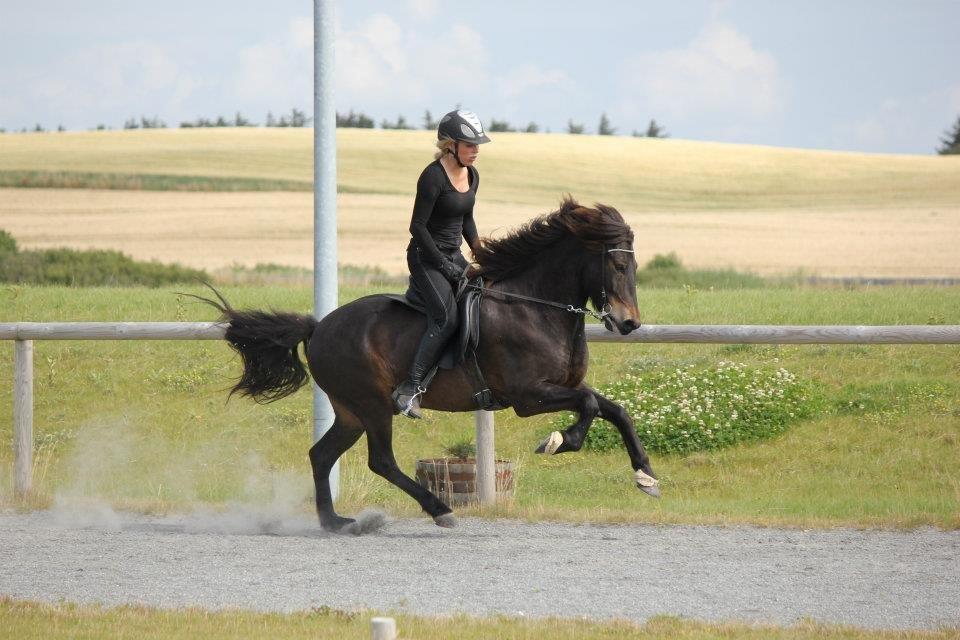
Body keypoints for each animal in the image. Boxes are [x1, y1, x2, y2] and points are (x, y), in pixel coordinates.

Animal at [195, 198, 660, 532]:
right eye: (618, 264)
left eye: (635, 265)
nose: (629, 323)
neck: (535, 306)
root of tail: (319, 326)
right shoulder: (529, 396)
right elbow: (589, 405)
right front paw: (560, 440)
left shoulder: (557, 389)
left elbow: (614, 409)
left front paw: (646, 476)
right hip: (373, 404)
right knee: (380, 461)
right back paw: (438, 509)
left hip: (351, 411)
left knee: (321, 455)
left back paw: (335, 522)